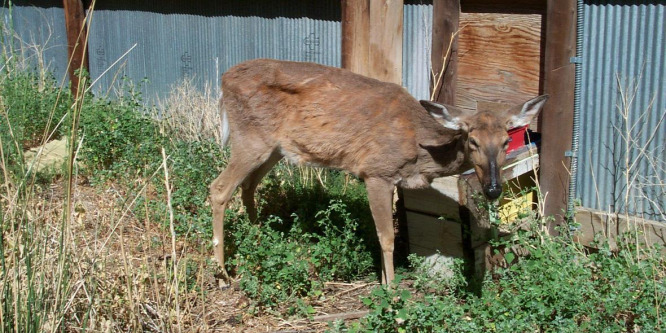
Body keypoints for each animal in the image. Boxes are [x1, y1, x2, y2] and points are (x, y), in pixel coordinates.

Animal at [210, 58, 548, 284]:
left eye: (506, 141)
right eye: (473, 140)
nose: (493, 188)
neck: (419, 149)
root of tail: (223, 80)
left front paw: (386, 281)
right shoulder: (376, 172)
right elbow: (387, 237)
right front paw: (392, 290)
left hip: (274, 148)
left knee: (248, 186)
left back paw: (259, 238)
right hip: (250, 138)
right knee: (219, 188)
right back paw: (223, 273)